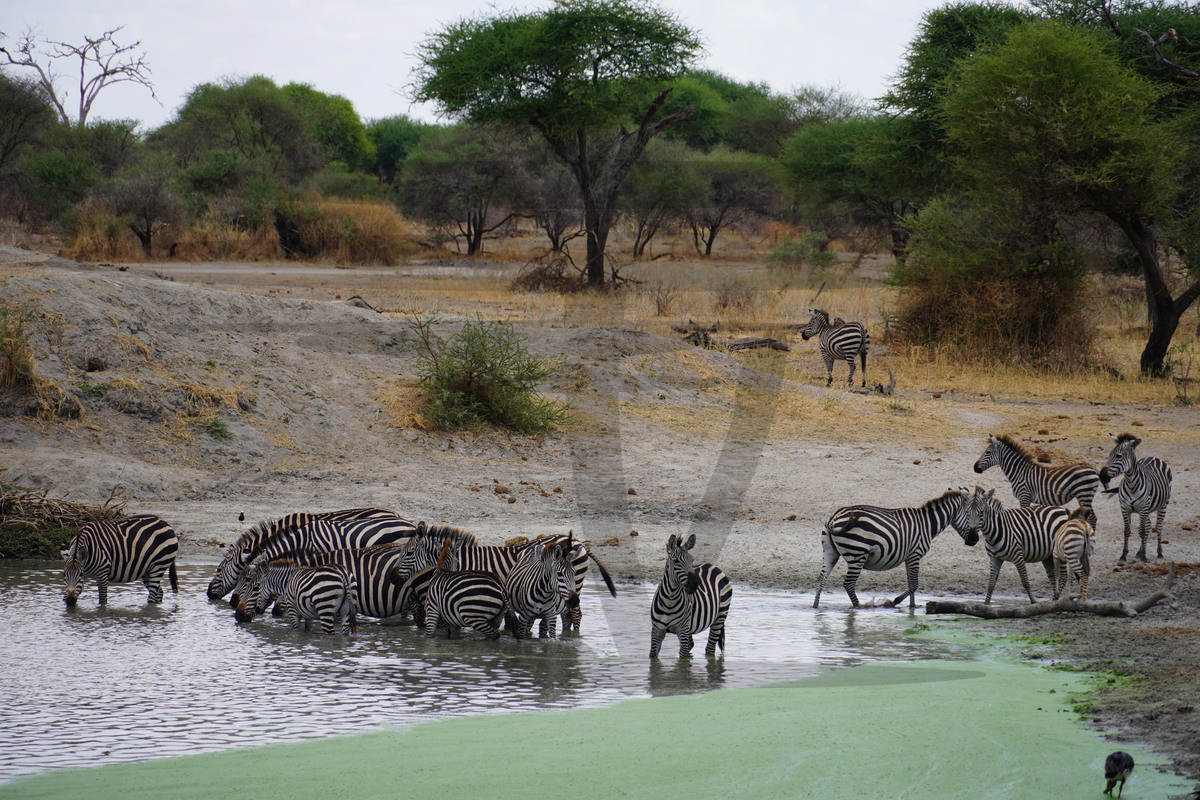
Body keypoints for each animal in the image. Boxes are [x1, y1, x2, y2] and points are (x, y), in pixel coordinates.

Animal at [812, 489, 978, 610]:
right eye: (971, 515)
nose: (975, 539)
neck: (927, 524)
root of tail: (833, 517)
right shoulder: (915, 554)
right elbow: (914, 584)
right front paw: (893, 602)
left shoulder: (909, 557)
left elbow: (911, 584)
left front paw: (912, 607)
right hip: (857, 554)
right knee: (848, 584)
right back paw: (859, 607)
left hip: (830, 552)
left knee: (822, 579)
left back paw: (815, 607)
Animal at [1100, 433, 1173, 563]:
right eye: (1110, 455)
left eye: (1119, 456)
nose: (1102, 476)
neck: (1131, 483)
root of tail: (1154, 457)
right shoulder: (1125, 509)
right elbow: (1127, 531)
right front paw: (1124, 555)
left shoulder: (1143, 509)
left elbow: (1142, 531)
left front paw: (1144, 556)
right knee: (1148, 525)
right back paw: (1140, 551)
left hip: (1163, 505)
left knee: (1158, 526)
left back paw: (1159, 552)